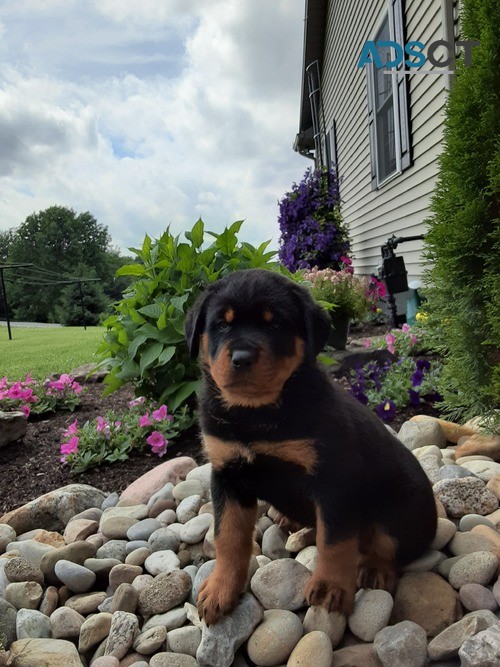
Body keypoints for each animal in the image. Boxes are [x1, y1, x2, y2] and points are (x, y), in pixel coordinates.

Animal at [185, 268, 438, 628]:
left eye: (275, 324)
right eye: (221, 324)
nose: (241, 358)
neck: (256, 414)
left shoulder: (334, 481)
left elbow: (334, 541)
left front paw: (330, 587)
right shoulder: (227, 476)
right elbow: (228, 537)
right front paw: (220, 589)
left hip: (399, 505)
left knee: (390, 543)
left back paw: (375, 569)